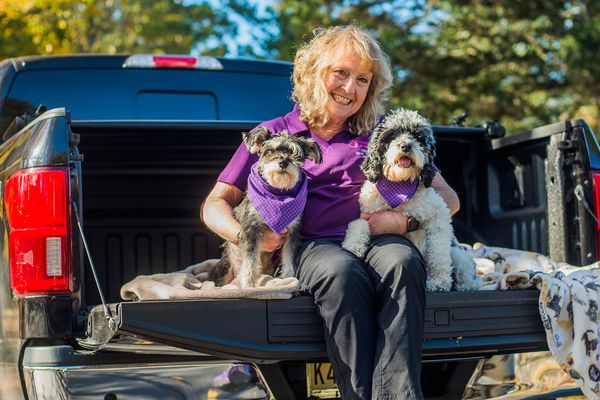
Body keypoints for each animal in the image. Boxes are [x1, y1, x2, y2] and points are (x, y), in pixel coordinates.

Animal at [212, 128, 324, 288]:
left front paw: (288, 278)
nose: (283, 162)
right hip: (226, 267)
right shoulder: (251, 230)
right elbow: (250, 260)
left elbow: (288, 256)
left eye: (295, 154)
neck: (277, 195)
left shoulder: (292, 232)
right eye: (270, 150)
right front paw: (247, 284)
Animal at [342, 108, 478, 292]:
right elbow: (357, 224)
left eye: (417, 136)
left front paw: (439, 282)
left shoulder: (439, 219)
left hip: (458, 254)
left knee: (463, 269)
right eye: (392, 135)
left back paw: (465, 284)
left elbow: (439, 254)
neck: (399, 187)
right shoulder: (368, 214)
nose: (406, 146)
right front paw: (354, 245)